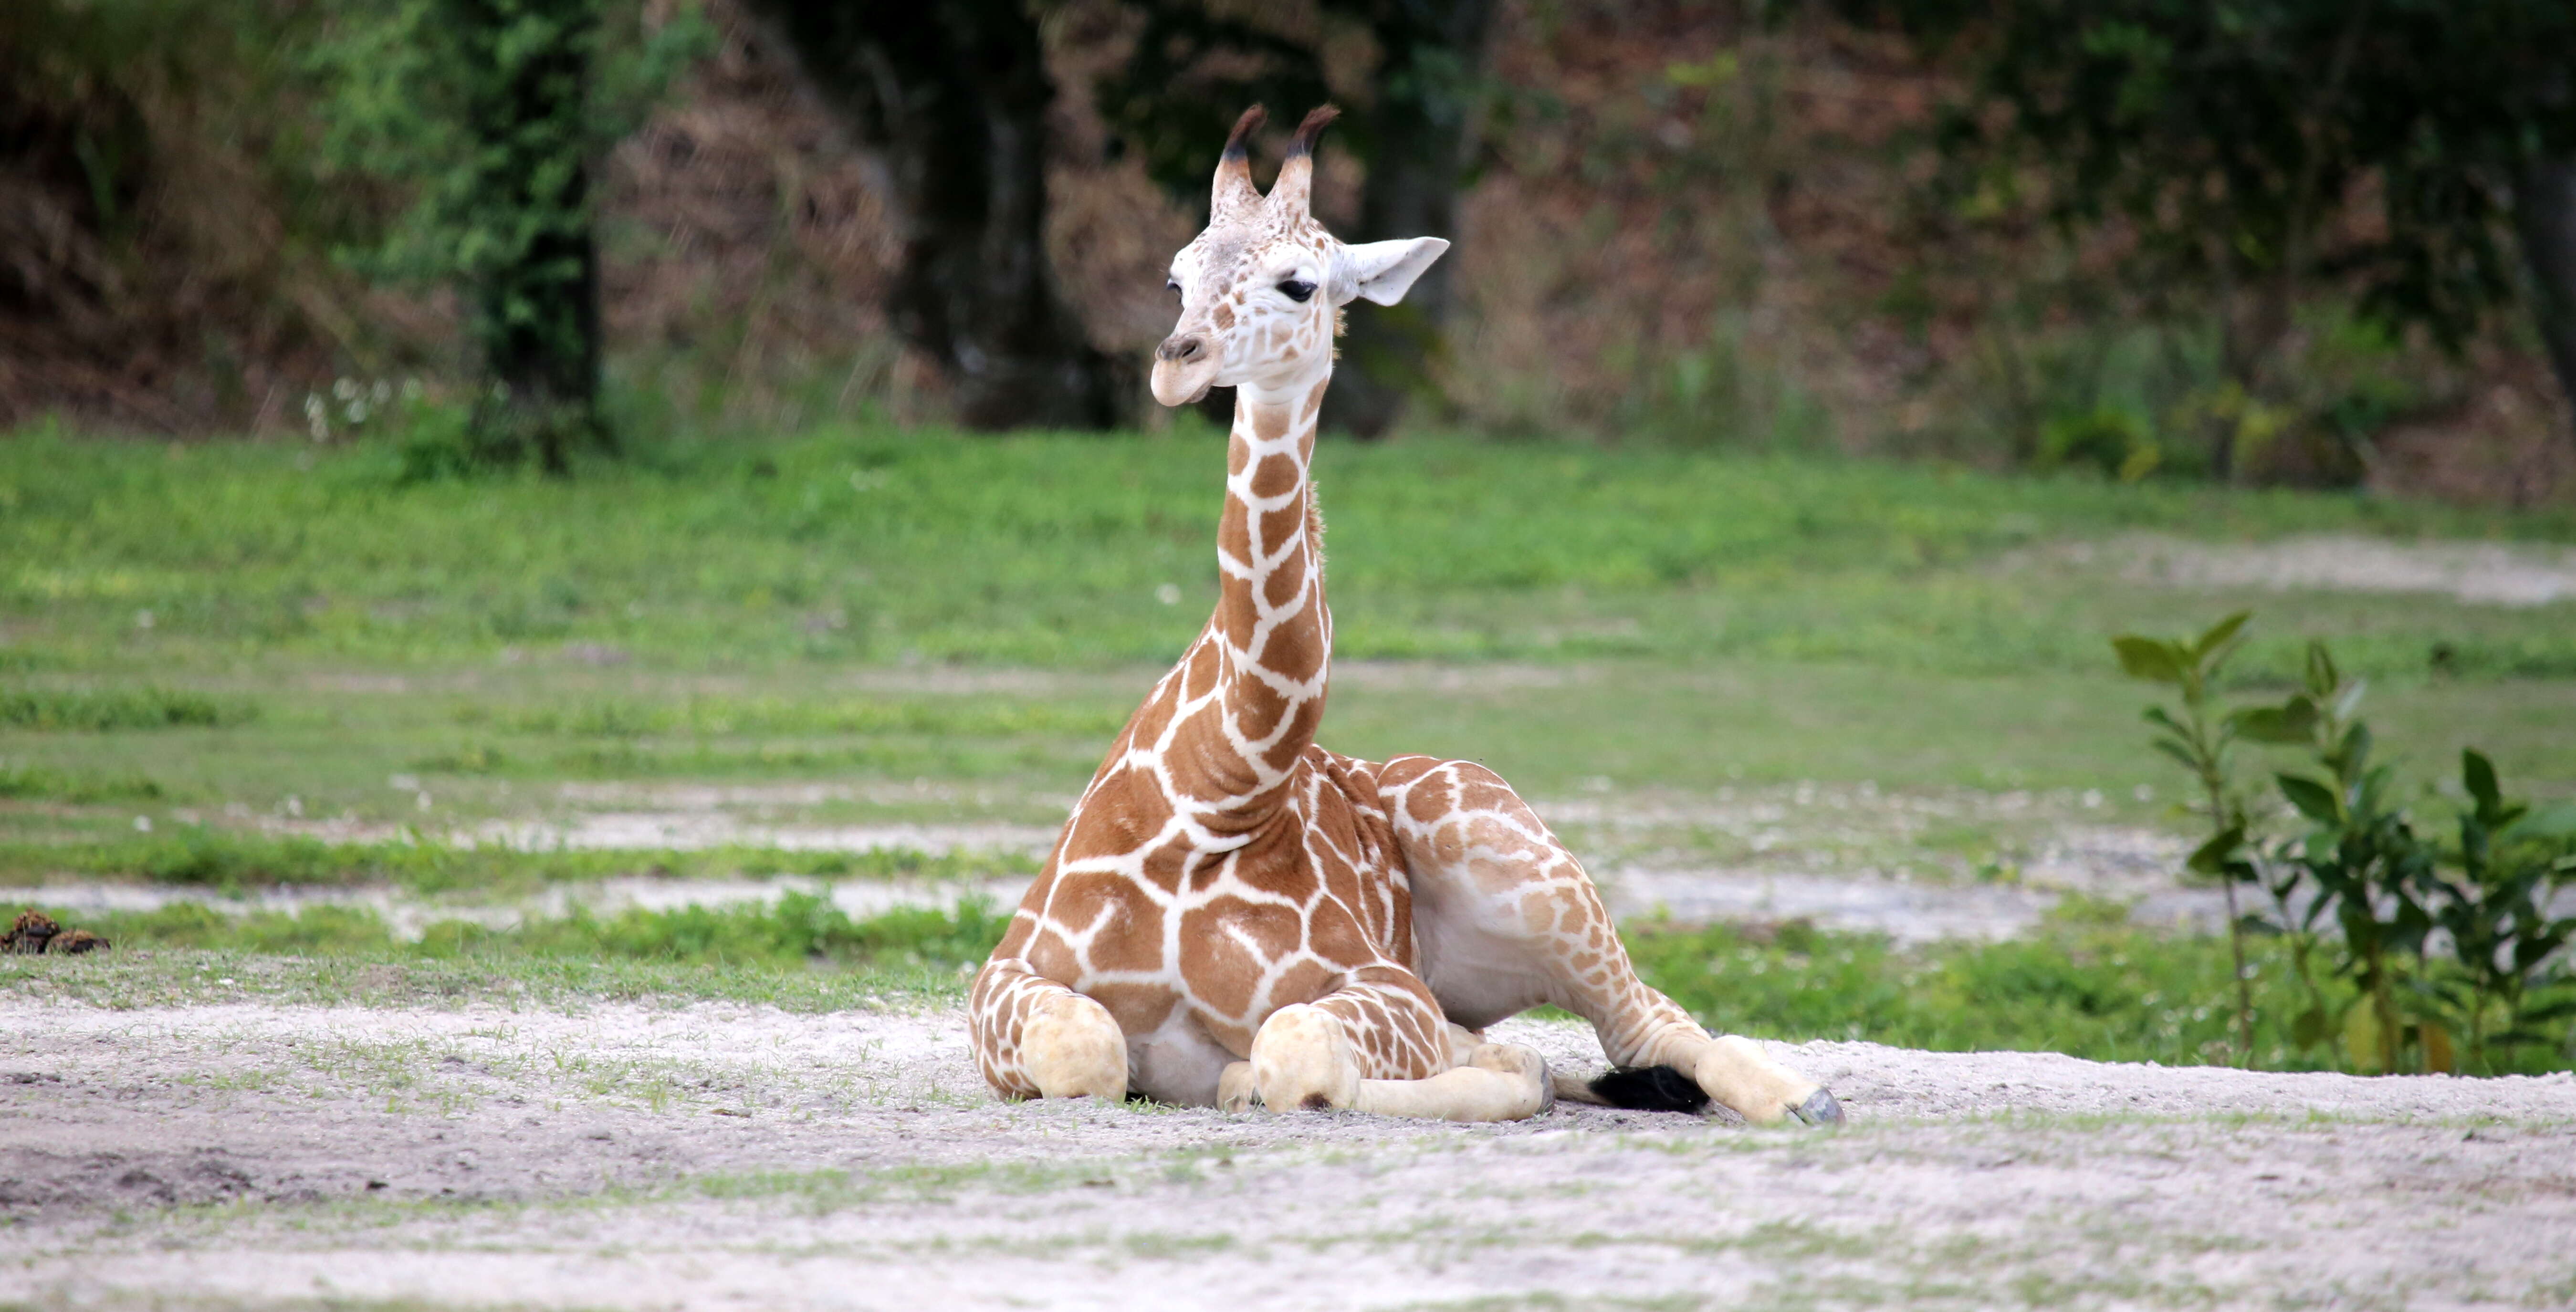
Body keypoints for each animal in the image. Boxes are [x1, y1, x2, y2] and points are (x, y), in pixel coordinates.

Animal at [963, 105, 1834, 1124]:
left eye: (1298, 284)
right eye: (1176, 278)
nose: (1177, 367)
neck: (1217, 785)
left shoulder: (1383, 986)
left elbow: (1291, 1056)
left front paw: (1253, 1076)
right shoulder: (1006, 974)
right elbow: (1089, 1050)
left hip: (1524, 868)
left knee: (1639, 1024)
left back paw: (1800, 1098)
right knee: (1561, 1048)